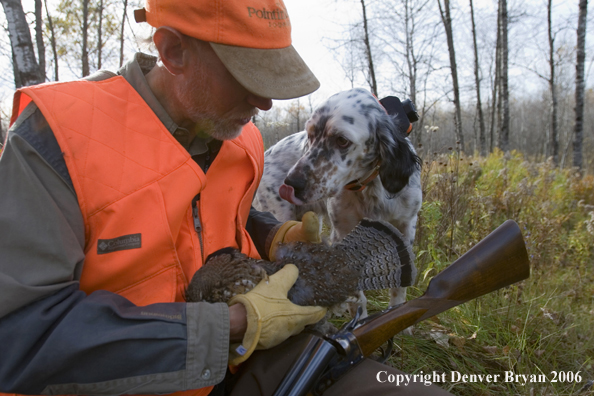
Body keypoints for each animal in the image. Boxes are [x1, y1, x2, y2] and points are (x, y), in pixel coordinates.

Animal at [254, 89, 420, 316]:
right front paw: (360, 319)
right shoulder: (343, 231)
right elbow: (357, 295)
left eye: (342, 140)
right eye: (310, 135)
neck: (369, 187)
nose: (290, 184)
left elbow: (399, 285)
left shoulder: (406, 226)